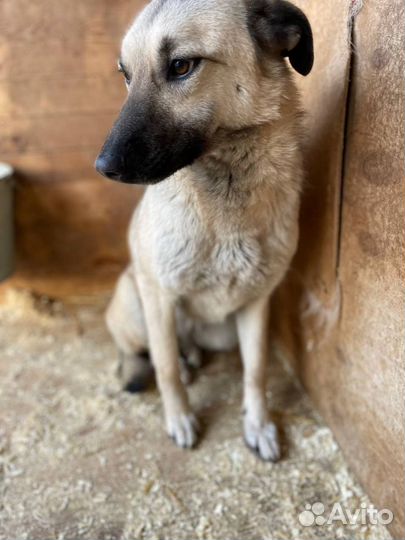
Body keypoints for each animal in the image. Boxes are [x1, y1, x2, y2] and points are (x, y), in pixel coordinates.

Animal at [94, 0, 312, 460]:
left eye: (181, 66)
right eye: (126, 74)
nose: (102, 167)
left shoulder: (256, 304)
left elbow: (256, 370)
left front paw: (259, 425)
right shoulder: (158, 297)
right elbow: (165, 369)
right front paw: (180, 419)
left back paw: (191, 355)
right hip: (134, 297)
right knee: (142, 351)